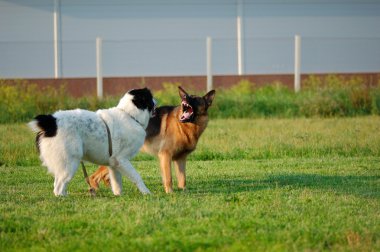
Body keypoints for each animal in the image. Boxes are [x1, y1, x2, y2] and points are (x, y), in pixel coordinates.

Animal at [27, 88, 156, 197]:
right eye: (150, 97)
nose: (156, 101)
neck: (130, 115)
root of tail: (51, 122)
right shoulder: (122, 159)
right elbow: (137, 176)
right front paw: (146, 192)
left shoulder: (114, 163)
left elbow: (117, 183)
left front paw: (118, 195)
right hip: (69, 163)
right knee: (58, 187)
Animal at [87, 86, 215, 193]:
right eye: (187, 96)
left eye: (195, 99)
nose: (184, 97)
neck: (184, 127)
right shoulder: (165, 155)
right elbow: (168, 178)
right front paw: (170, 193)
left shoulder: (180, 159)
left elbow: (182, 179)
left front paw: (183, 192)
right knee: (93, 177)